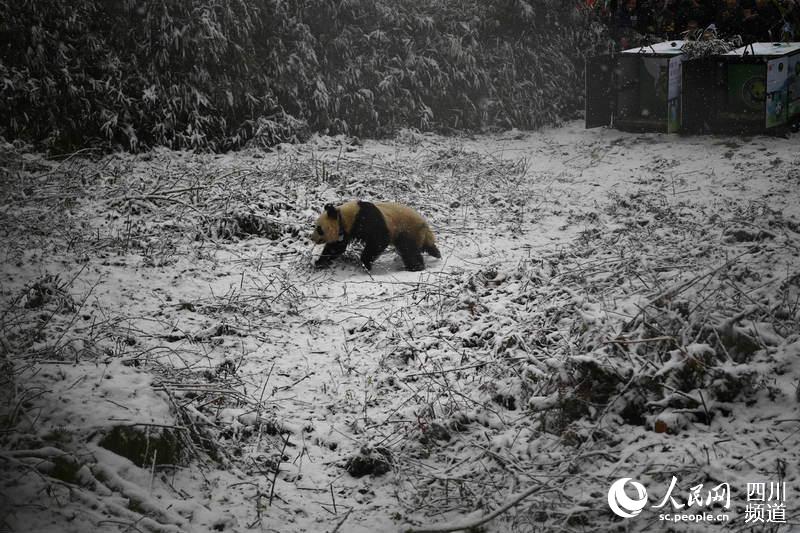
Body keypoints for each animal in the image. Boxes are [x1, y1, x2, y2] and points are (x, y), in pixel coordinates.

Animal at [310, 200, 441, 271]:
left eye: (319, 229)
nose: (312, 238)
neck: (345, 216)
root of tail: (425, 225)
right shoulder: (346, 231)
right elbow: (336, 247)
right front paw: (319, 262)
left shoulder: (366, 218)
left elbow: (379, 239)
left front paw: (366, 263)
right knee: (421, 247)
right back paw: (435, 253)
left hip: (408, 229)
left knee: (409, 250)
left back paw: (415, 267)